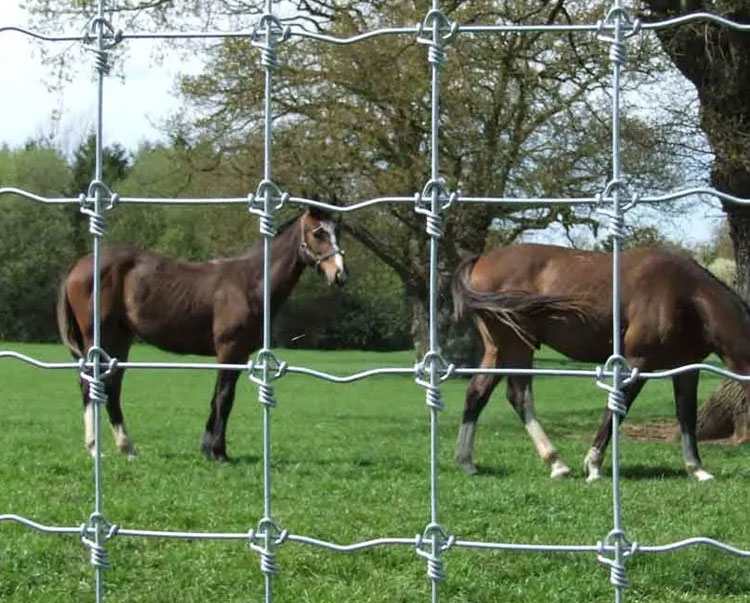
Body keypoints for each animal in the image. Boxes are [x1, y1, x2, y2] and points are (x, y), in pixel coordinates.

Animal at [57, 208, 348, 462]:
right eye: (317, 233)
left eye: (337, 232)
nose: (340, 274)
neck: (250, 282)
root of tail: (78, 266)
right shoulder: (230, 351)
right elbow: (224, 399)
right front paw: (219, 452)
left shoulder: (236, 354)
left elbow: (216, 399)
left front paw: (208, 448)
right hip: (99, 338)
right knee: (90, 384)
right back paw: (95, 448)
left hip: (119, 340)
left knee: (112, 386)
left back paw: (127, 448)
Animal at [452, 243, 750, 484]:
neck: (687, 295)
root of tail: (481, 260)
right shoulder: (637, 362)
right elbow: (616, 409)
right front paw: (593, 465)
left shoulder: (687, 368)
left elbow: (686, 416)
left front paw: (697, 469)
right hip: (517, 346)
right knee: (519, 396)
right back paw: (556, 463)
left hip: (497, 350)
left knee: (476, 393)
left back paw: (466, 461)